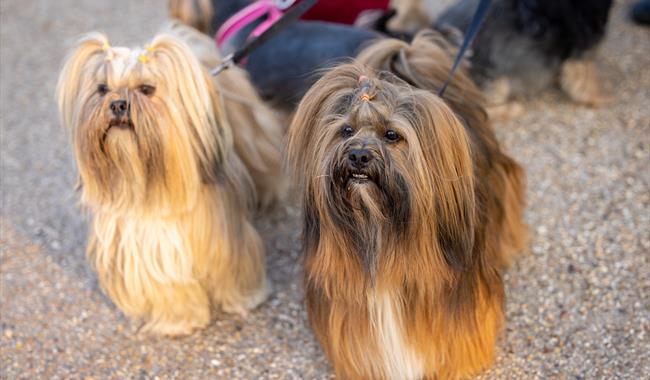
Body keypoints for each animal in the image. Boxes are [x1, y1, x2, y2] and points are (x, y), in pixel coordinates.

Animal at [58, 22, 284, 334]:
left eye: (146, 89)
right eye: (102, 89)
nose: (117, 104)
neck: (150, 184)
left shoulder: (224, 237)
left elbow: (234, 268)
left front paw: (245, 299)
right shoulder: (143, 251)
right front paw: (180, 321)